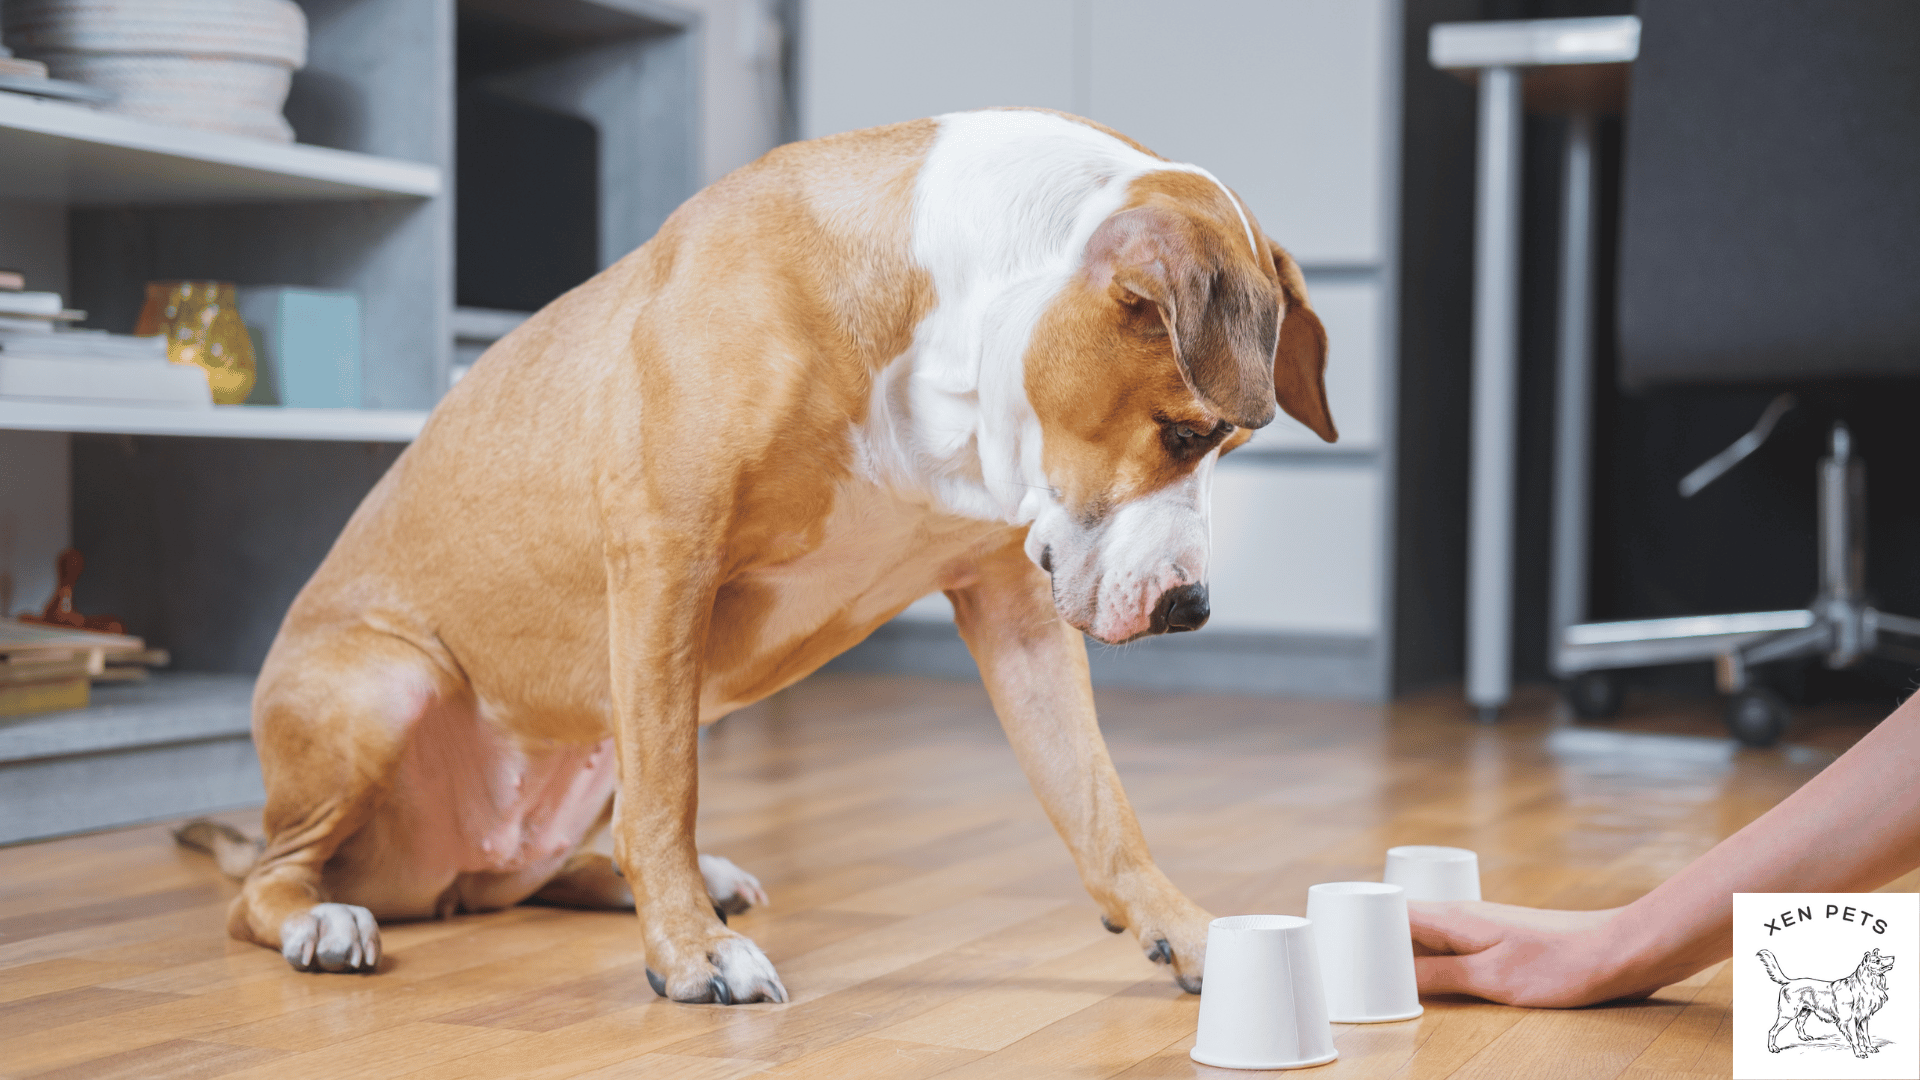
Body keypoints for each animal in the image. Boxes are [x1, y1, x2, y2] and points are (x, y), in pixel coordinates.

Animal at [194, 109, 1336, 999]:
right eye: (1184, 433)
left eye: (1227, 445)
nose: (1191, 607)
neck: (942, 329)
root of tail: (430, 877)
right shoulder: (666, 560)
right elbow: (671, 792)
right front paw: (691, 955)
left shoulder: (1014, 612)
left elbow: (1099, 802)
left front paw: (1189, 932)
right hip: (385, 688)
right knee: (269, 885)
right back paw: (325, 920)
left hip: (581, 742)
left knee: (539, 864)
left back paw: (639, 881)